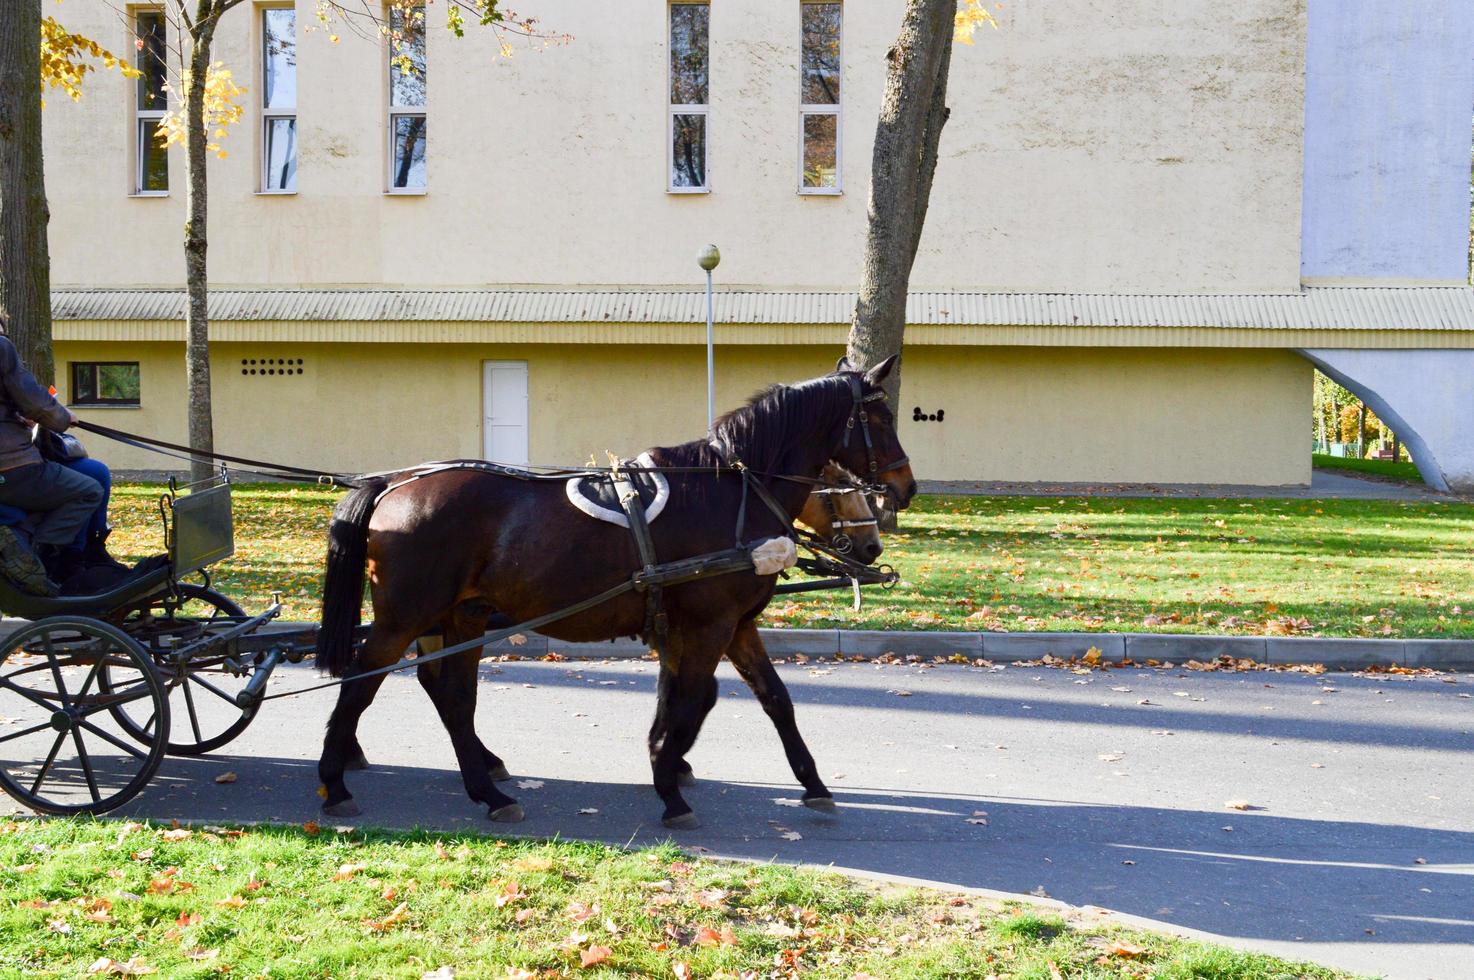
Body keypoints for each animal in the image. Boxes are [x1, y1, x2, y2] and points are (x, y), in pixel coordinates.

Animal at [313, 359, 907, 825]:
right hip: (404, 618)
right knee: (361, 686)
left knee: (454, 697)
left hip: (462, 616)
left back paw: (487, 790)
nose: (903, 489)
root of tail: (391, 484)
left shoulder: (734, 625)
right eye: (882, 418)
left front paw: (812, 784)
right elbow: (693, 697)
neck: (730, 491)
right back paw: (335, 783)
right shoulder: (708, 624)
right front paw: (668, 780)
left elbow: (771, 699)